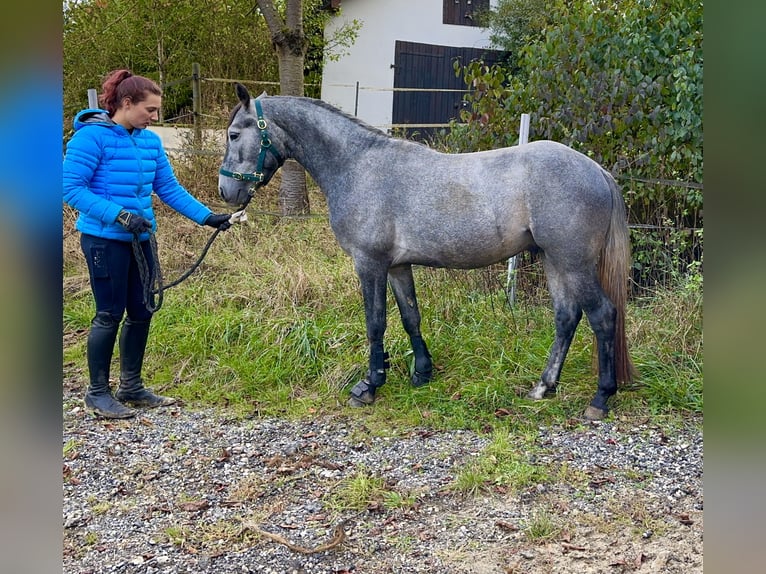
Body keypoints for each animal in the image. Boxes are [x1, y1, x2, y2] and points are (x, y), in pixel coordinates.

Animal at [218, 83, 636, 421]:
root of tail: (597, 171)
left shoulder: (369, 264)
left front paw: (369, 386)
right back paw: (543, 387)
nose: (227, 192)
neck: (358, 165)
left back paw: (600, 399)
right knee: (566, 318)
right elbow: (410, 318)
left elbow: (375, 323)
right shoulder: (397, 266)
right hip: (554, 261)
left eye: (234, 134)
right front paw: (421, 372)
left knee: (602, 316)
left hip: (573, 263)